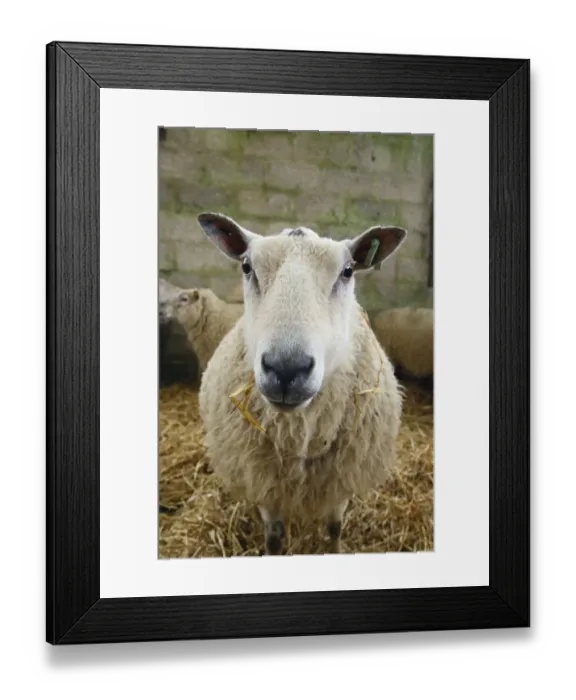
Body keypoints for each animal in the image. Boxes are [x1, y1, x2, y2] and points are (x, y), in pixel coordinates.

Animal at [196, 212, 407, 556]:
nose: (286, 368)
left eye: (347, 271)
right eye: (247, 267)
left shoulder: (341, 480)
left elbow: (335, 527)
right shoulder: (266, 482)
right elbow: (274, 537)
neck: (300, 432)